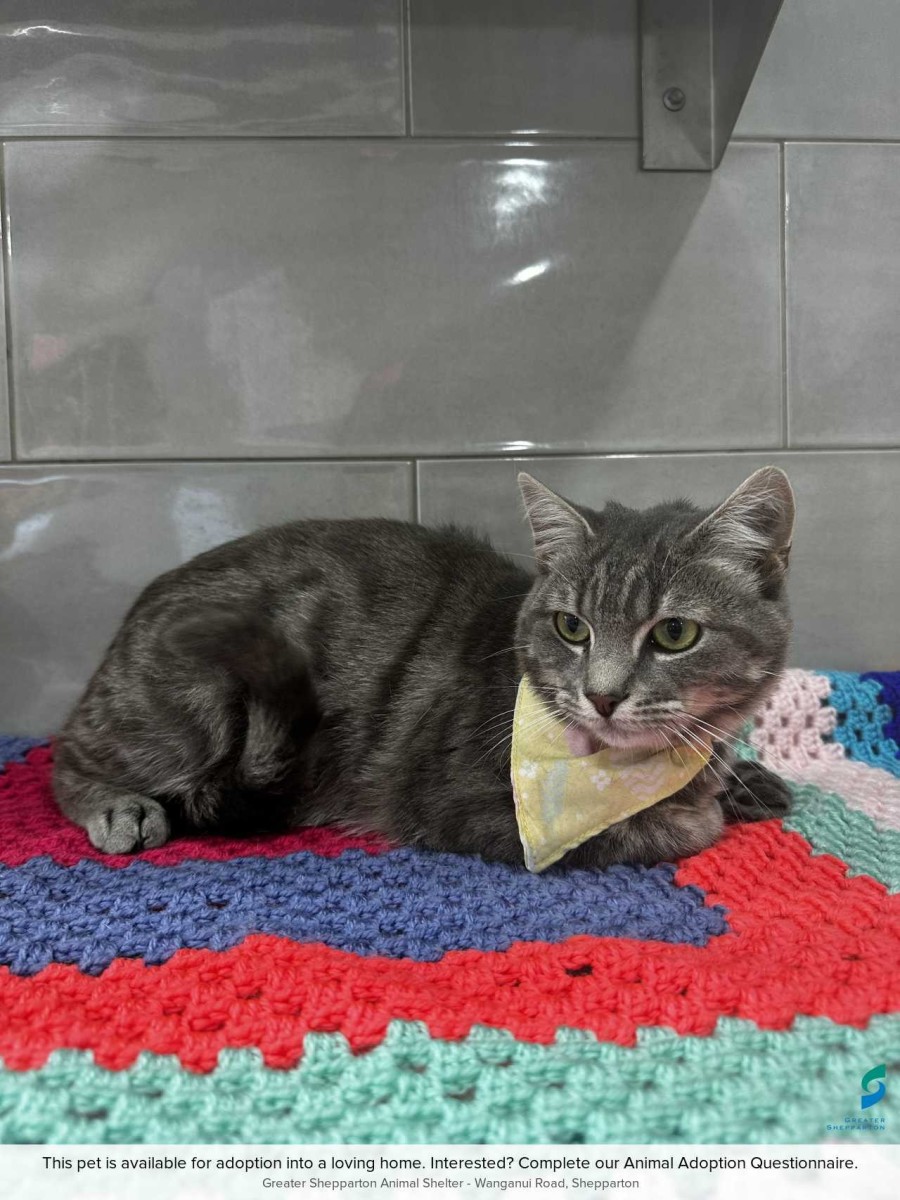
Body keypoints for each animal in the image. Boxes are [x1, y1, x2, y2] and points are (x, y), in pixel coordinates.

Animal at [53, 466, 794, 868]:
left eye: (674, 633)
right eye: (571, 628)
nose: (603, 695)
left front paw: (744, 779)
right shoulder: (458, 806)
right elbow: (661, 829)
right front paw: (701, 810)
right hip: (191, 703)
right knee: (67, 758)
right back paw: (118, 806)